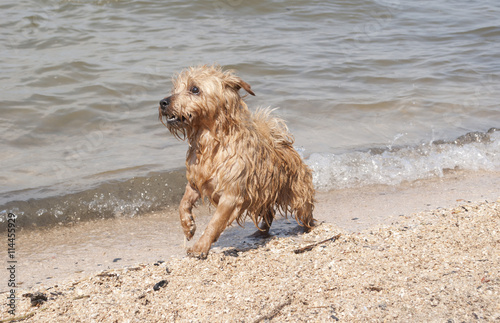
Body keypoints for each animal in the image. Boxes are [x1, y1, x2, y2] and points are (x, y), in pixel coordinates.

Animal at [159, 65, 316, 258]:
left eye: (194, 89)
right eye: (175, 89)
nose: (163, 102)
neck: (211, 144)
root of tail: (284, 143)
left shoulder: (231, 195)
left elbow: (214, 223)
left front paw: (200, 247)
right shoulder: (197, 182)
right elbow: (183, 203)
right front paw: (188, 226)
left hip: (298, 194)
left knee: (305, 214)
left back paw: (308, 229)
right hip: (263, 195)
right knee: (269, 213)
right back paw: (259, 233)